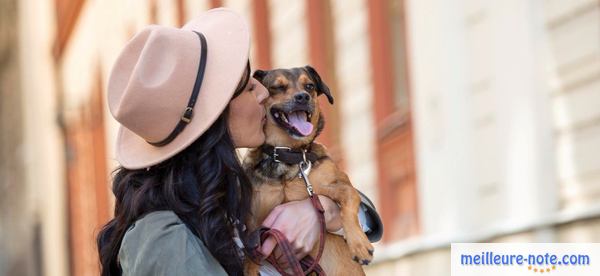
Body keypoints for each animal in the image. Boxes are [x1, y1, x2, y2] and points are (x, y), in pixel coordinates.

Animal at [241, 66, 372, 274]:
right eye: (277, 87)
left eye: (309, 86)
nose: (303, 97)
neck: (289, 155)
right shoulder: (254, 230)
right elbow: (250, 263)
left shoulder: (329, 185)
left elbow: (350, 194)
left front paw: (359, 244)